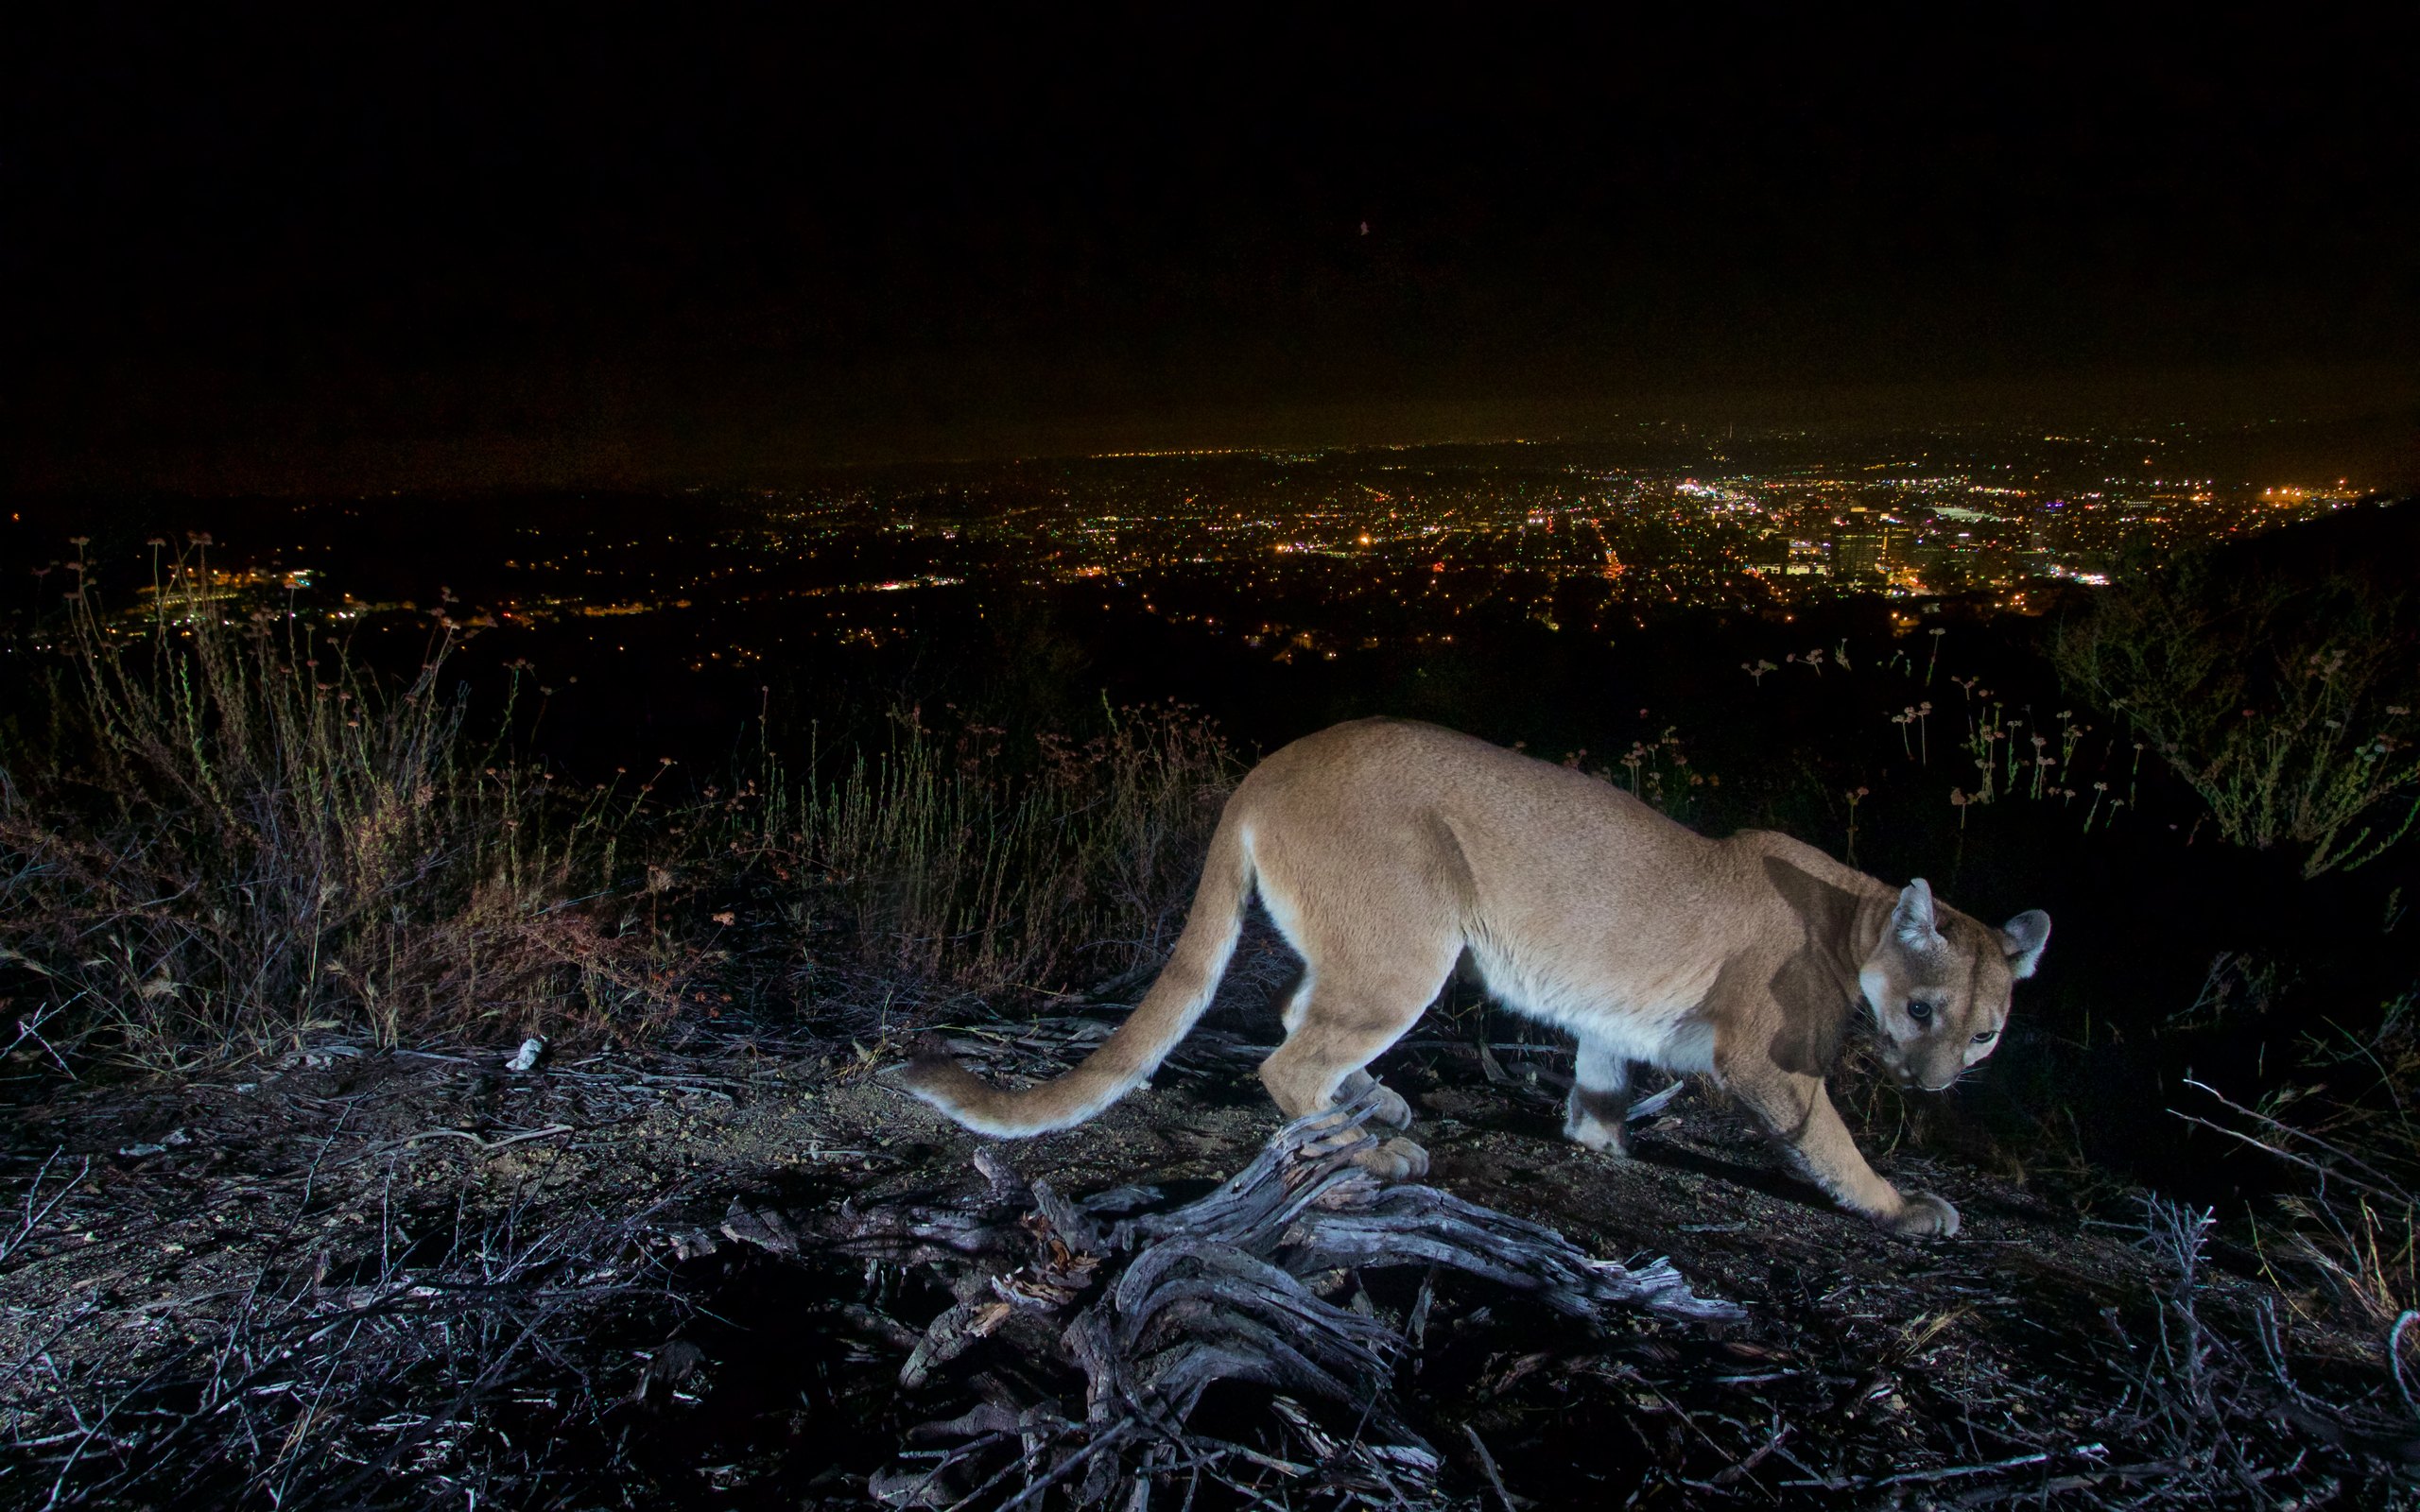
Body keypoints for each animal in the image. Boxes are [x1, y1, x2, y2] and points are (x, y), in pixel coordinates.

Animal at [898, 718, 2049, 1237]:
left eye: (1986, 1031)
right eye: (1923, 1008)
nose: (1937, 1082)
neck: (1854, 915)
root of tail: (1271, 763)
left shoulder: (1611, 1019)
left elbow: (1598, 1082)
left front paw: (1599, 1144)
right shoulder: (1767, 1060)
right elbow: (1829, 1139)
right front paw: (1902, 1206)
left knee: (1297, 1013)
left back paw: (1376, 1102)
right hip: (1414, 942)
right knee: (1288, 1057)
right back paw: (1375, 1144)